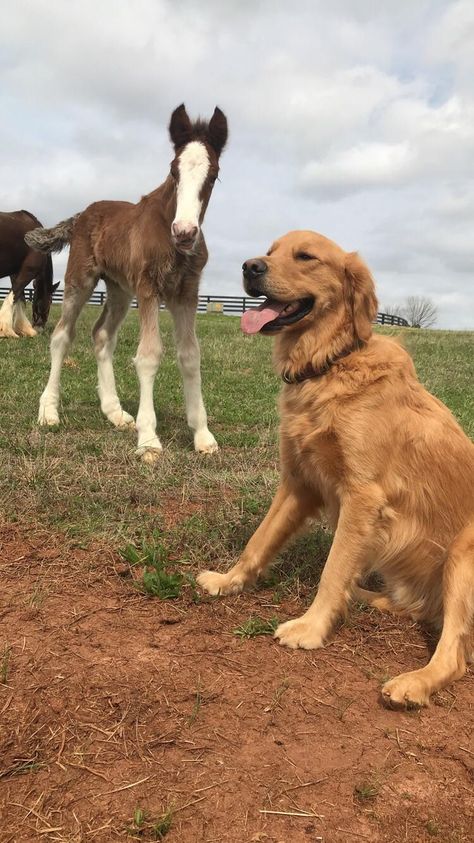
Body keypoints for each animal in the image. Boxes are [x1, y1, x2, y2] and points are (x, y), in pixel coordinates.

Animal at [26, 106, 229, 464]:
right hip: (80, 280)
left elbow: (190, 355)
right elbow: (149, 354)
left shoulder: (186, 293)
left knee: (102, 334)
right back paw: (48, 411)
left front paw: (203, 436)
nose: (185, 232)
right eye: (174, 170)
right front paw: (148, 440)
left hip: (120, 289)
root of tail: (82, 214)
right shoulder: (149, 288)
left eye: (213, 174)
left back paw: (115, 412)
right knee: (62, 335)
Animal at [198, 229, 474, 704]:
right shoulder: (298, 482)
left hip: (462, 554)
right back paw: (363, 594)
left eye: (306, 256)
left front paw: (310, 627)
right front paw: (228, 580)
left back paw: (413, 682)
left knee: (454, 653)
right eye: (269, 252)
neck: (329, 362)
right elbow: (259, 541)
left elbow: (333, 569)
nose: (249, 267)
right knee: (414, 608)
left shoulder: (362, 497)